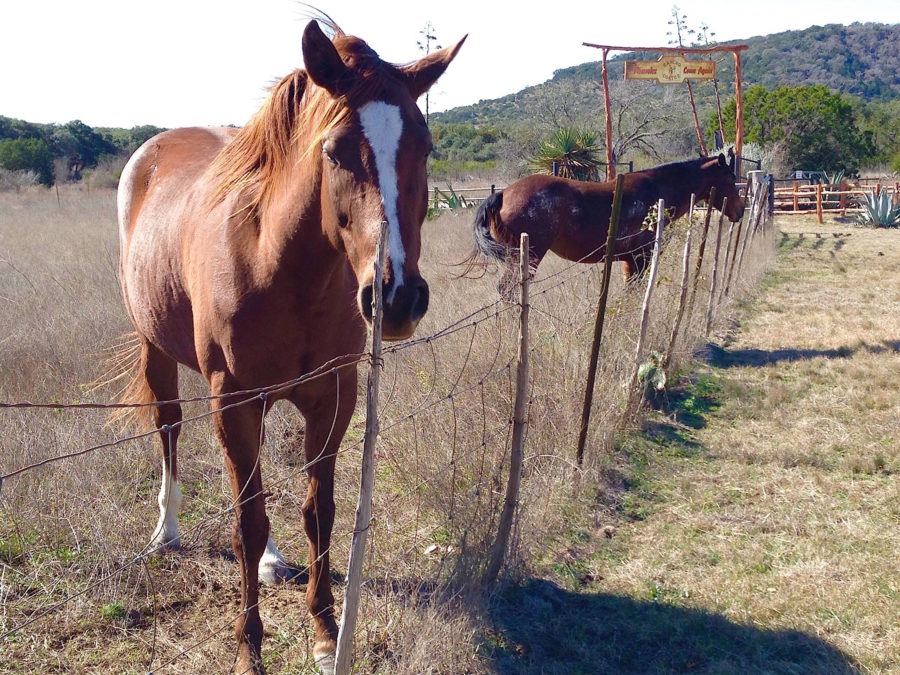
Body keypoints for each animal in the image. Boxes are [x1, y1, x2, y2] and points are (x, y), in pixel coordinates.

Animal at [116, 18, 464, 672]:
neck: (278, 263)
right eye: (333, 150)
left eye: (426, 145)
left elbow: (317, 511)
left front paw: (327, 630)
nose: (397, 295)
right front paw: (249, 649)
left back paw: (273, 561)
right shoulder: (232, 398)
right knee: (170, 428)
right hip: (159, 350)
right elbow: (246, 523)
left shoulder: (333, 396)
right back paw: (165, 533)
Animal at [472, 153, 744, 286]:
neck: (658, 192)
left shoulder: (629, 261)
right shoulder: (642, 258)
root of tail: (504, 193)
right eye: (730, 178)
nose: (741, 210)